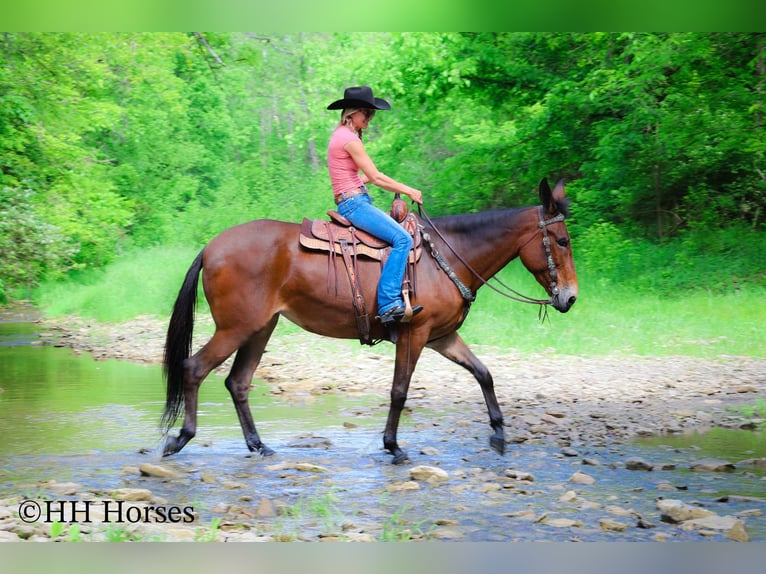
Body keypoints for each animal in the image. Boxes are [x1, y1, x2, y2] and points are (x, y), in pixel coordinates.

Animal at [161, 178, 577, 464]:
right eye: (561, 241)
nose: (571, 297)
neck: (447, 257)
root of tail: (211, 247)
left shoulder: (442, 336)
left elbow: (484, 374)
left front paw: (499, 435)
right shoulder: (415, 333)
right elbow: (399, 391)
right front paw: (393, 446)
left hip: (261, 328)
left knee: (238, 382)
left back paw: (259, 445)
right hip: (235, 328)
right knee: (194, 368)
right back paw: (180, 438)